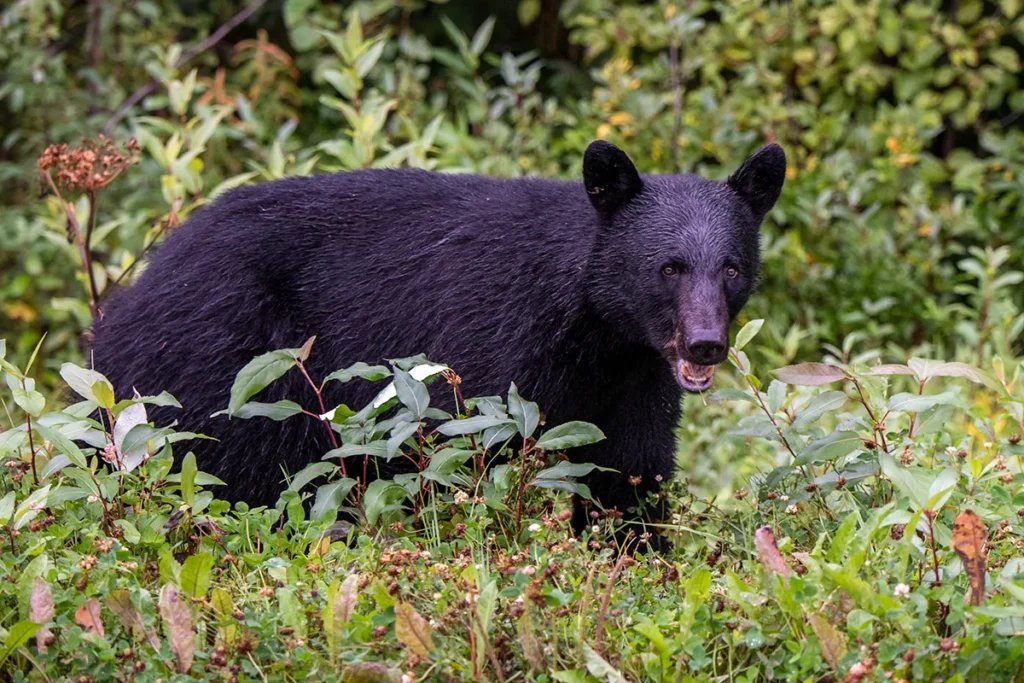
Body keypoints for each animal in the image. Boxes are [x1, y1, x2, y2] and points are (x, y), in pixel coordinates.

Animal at [94, 141, 782, 548]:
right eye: (667, 268)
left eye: (730, 267)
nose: (705, 345)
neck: (596, 331)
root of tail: (125, 301)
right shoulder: (494, 345)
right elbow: (469, 455)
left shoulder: (637, 376)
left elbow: (629, 472)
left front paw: (637, 559)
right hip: (224, 364)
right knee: (237, 473)